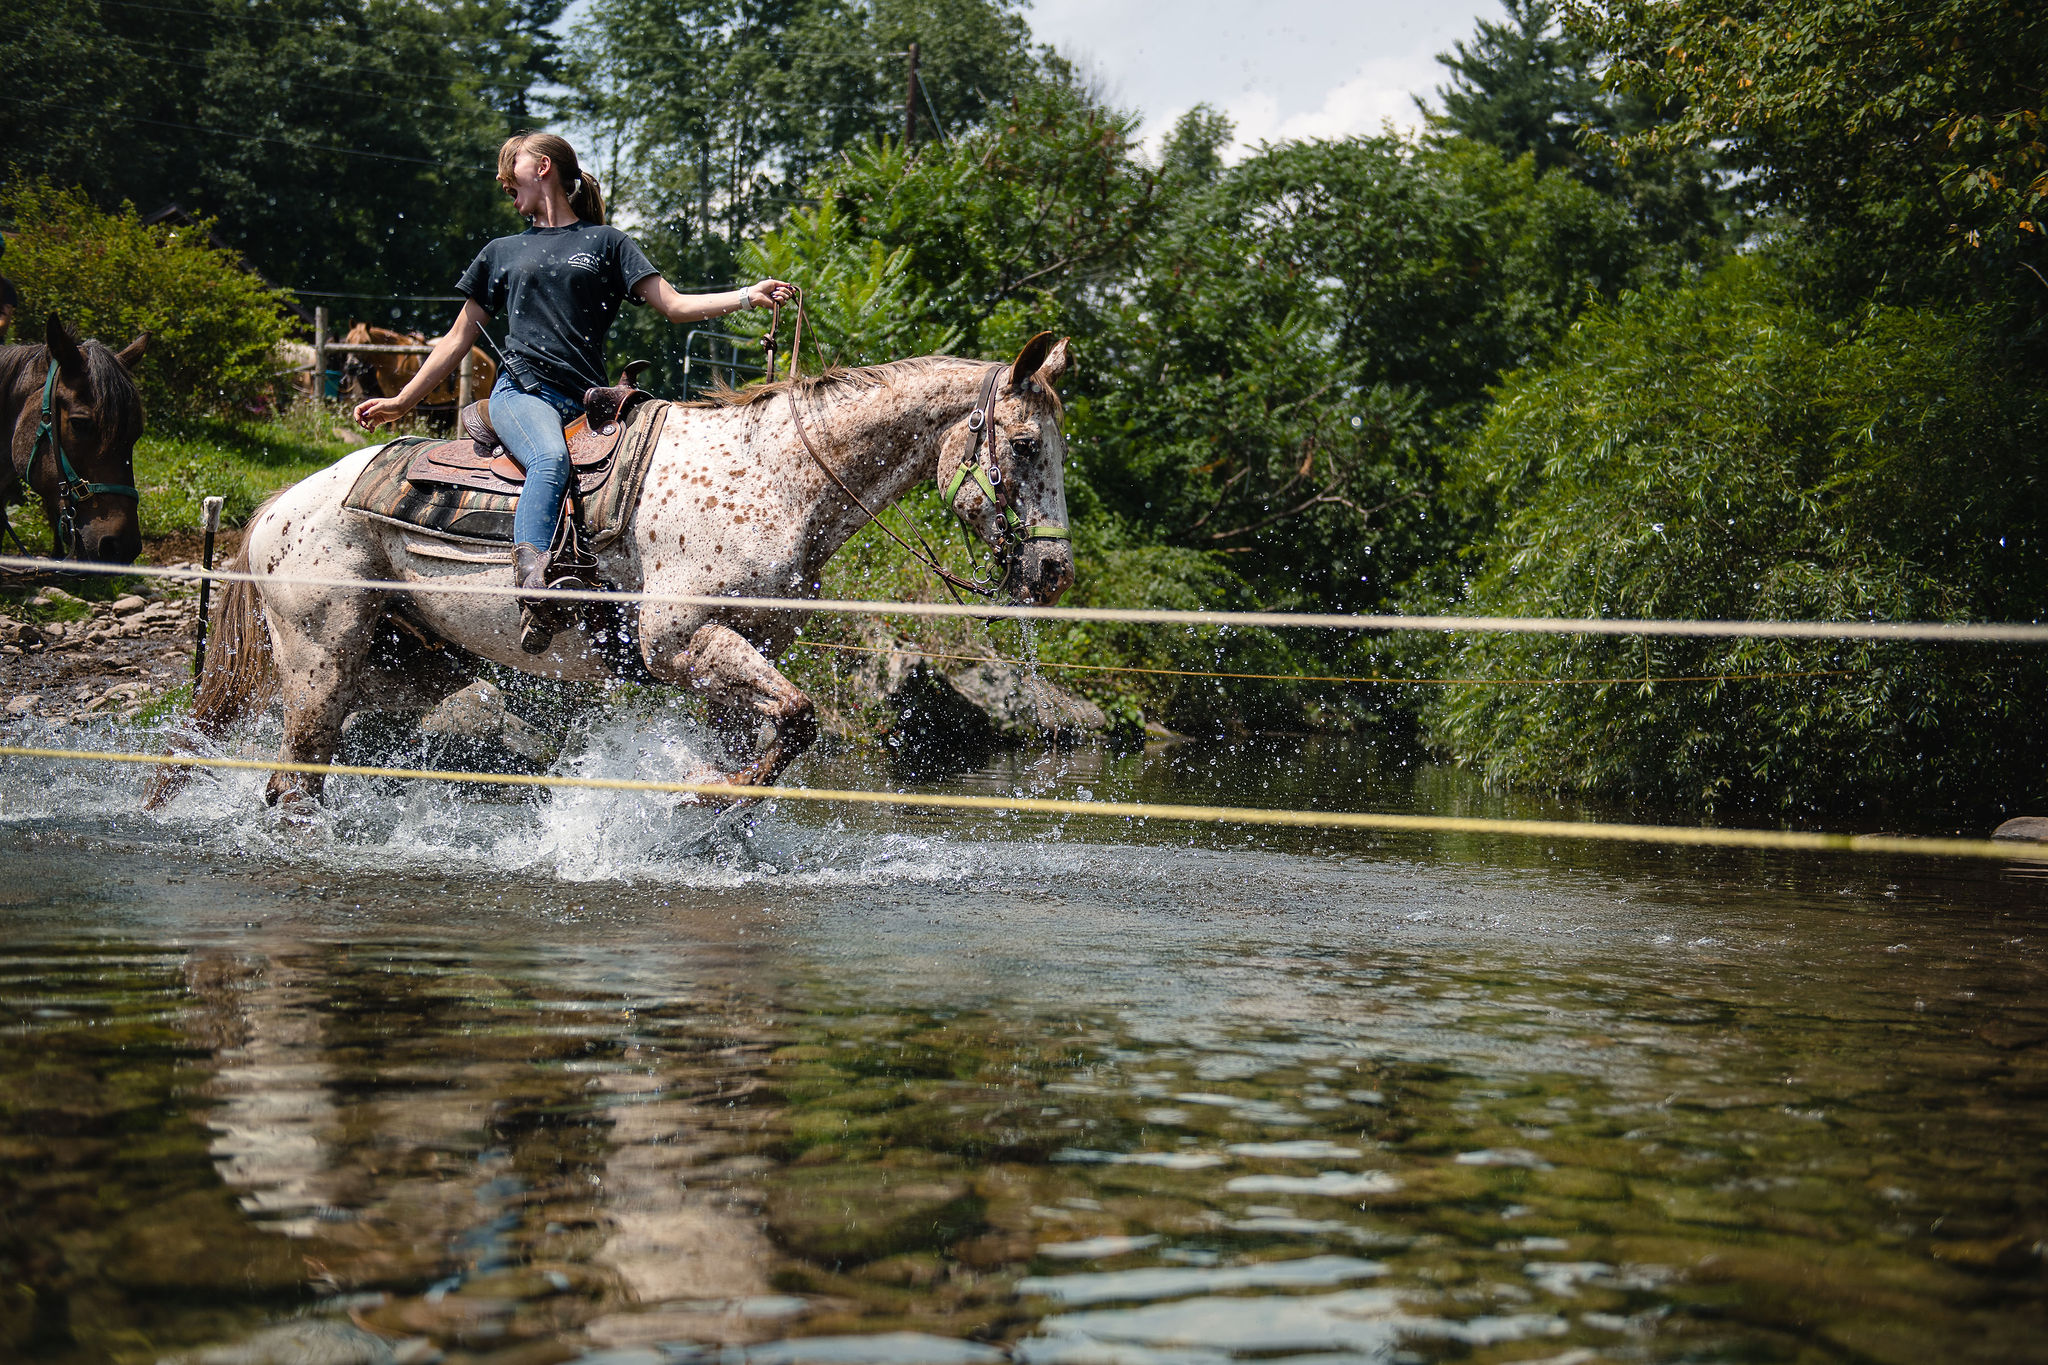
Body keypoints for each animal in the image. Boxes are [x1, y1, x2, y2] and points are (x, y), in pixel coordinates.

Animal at [171, 332, 1076, 808]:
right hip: (319, 658)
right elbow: (802, 719)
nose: (1053, 569)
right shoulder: (679, 643)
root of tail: (281, 506)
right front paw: (704, 791)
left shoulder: (741, 659)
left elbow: (780, 734)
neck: (775, 477)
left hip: (403, 664)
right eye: (1027, 443)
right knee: (295, 779)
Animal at [338, 323, 497, 412]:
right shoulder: (390, 394)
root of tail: (488, 360)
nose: (351, 366)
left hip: (480, 392)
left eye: (366, 342)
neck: (395, 360)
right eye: (348, 340)